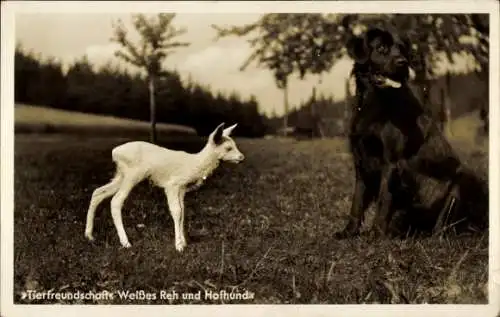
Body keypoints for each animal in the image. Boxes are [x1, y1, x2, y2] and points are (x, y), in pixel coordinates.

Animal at [336, 27, 488, 238]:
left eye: (401, 49)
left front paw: (376, 234)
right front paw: (349, 231)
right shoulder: (361, 159)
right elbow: (357, 201)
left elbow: (383, 199)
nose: (403, 63)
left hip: (463, 178)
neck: (376, 103)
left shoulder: (391, 162)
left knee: (444, 225)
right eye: (381, 48)